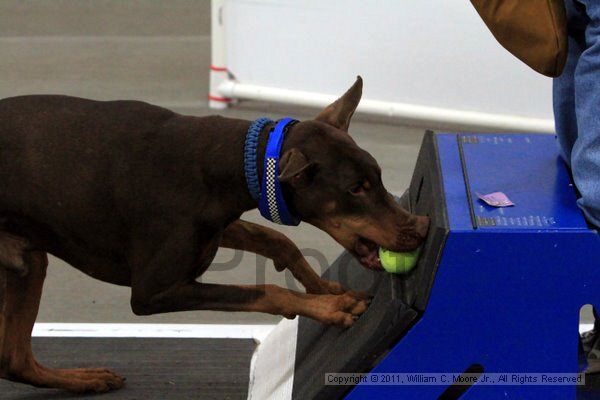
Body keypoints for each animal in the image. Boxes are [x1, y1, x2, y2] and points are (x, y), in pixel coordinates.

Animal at [0, 76, 428, 392]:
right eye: (356, 189)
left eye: (378, 176)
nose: (421, 227)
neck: (227, 161)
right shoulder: (155, 291)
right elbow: (268, 291)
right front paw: (330, 307)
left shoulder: (214, 227)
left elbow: (279, 240)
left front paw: (326, 289)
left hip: (27, 260)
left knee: (15, 360)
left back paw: (83, 380)